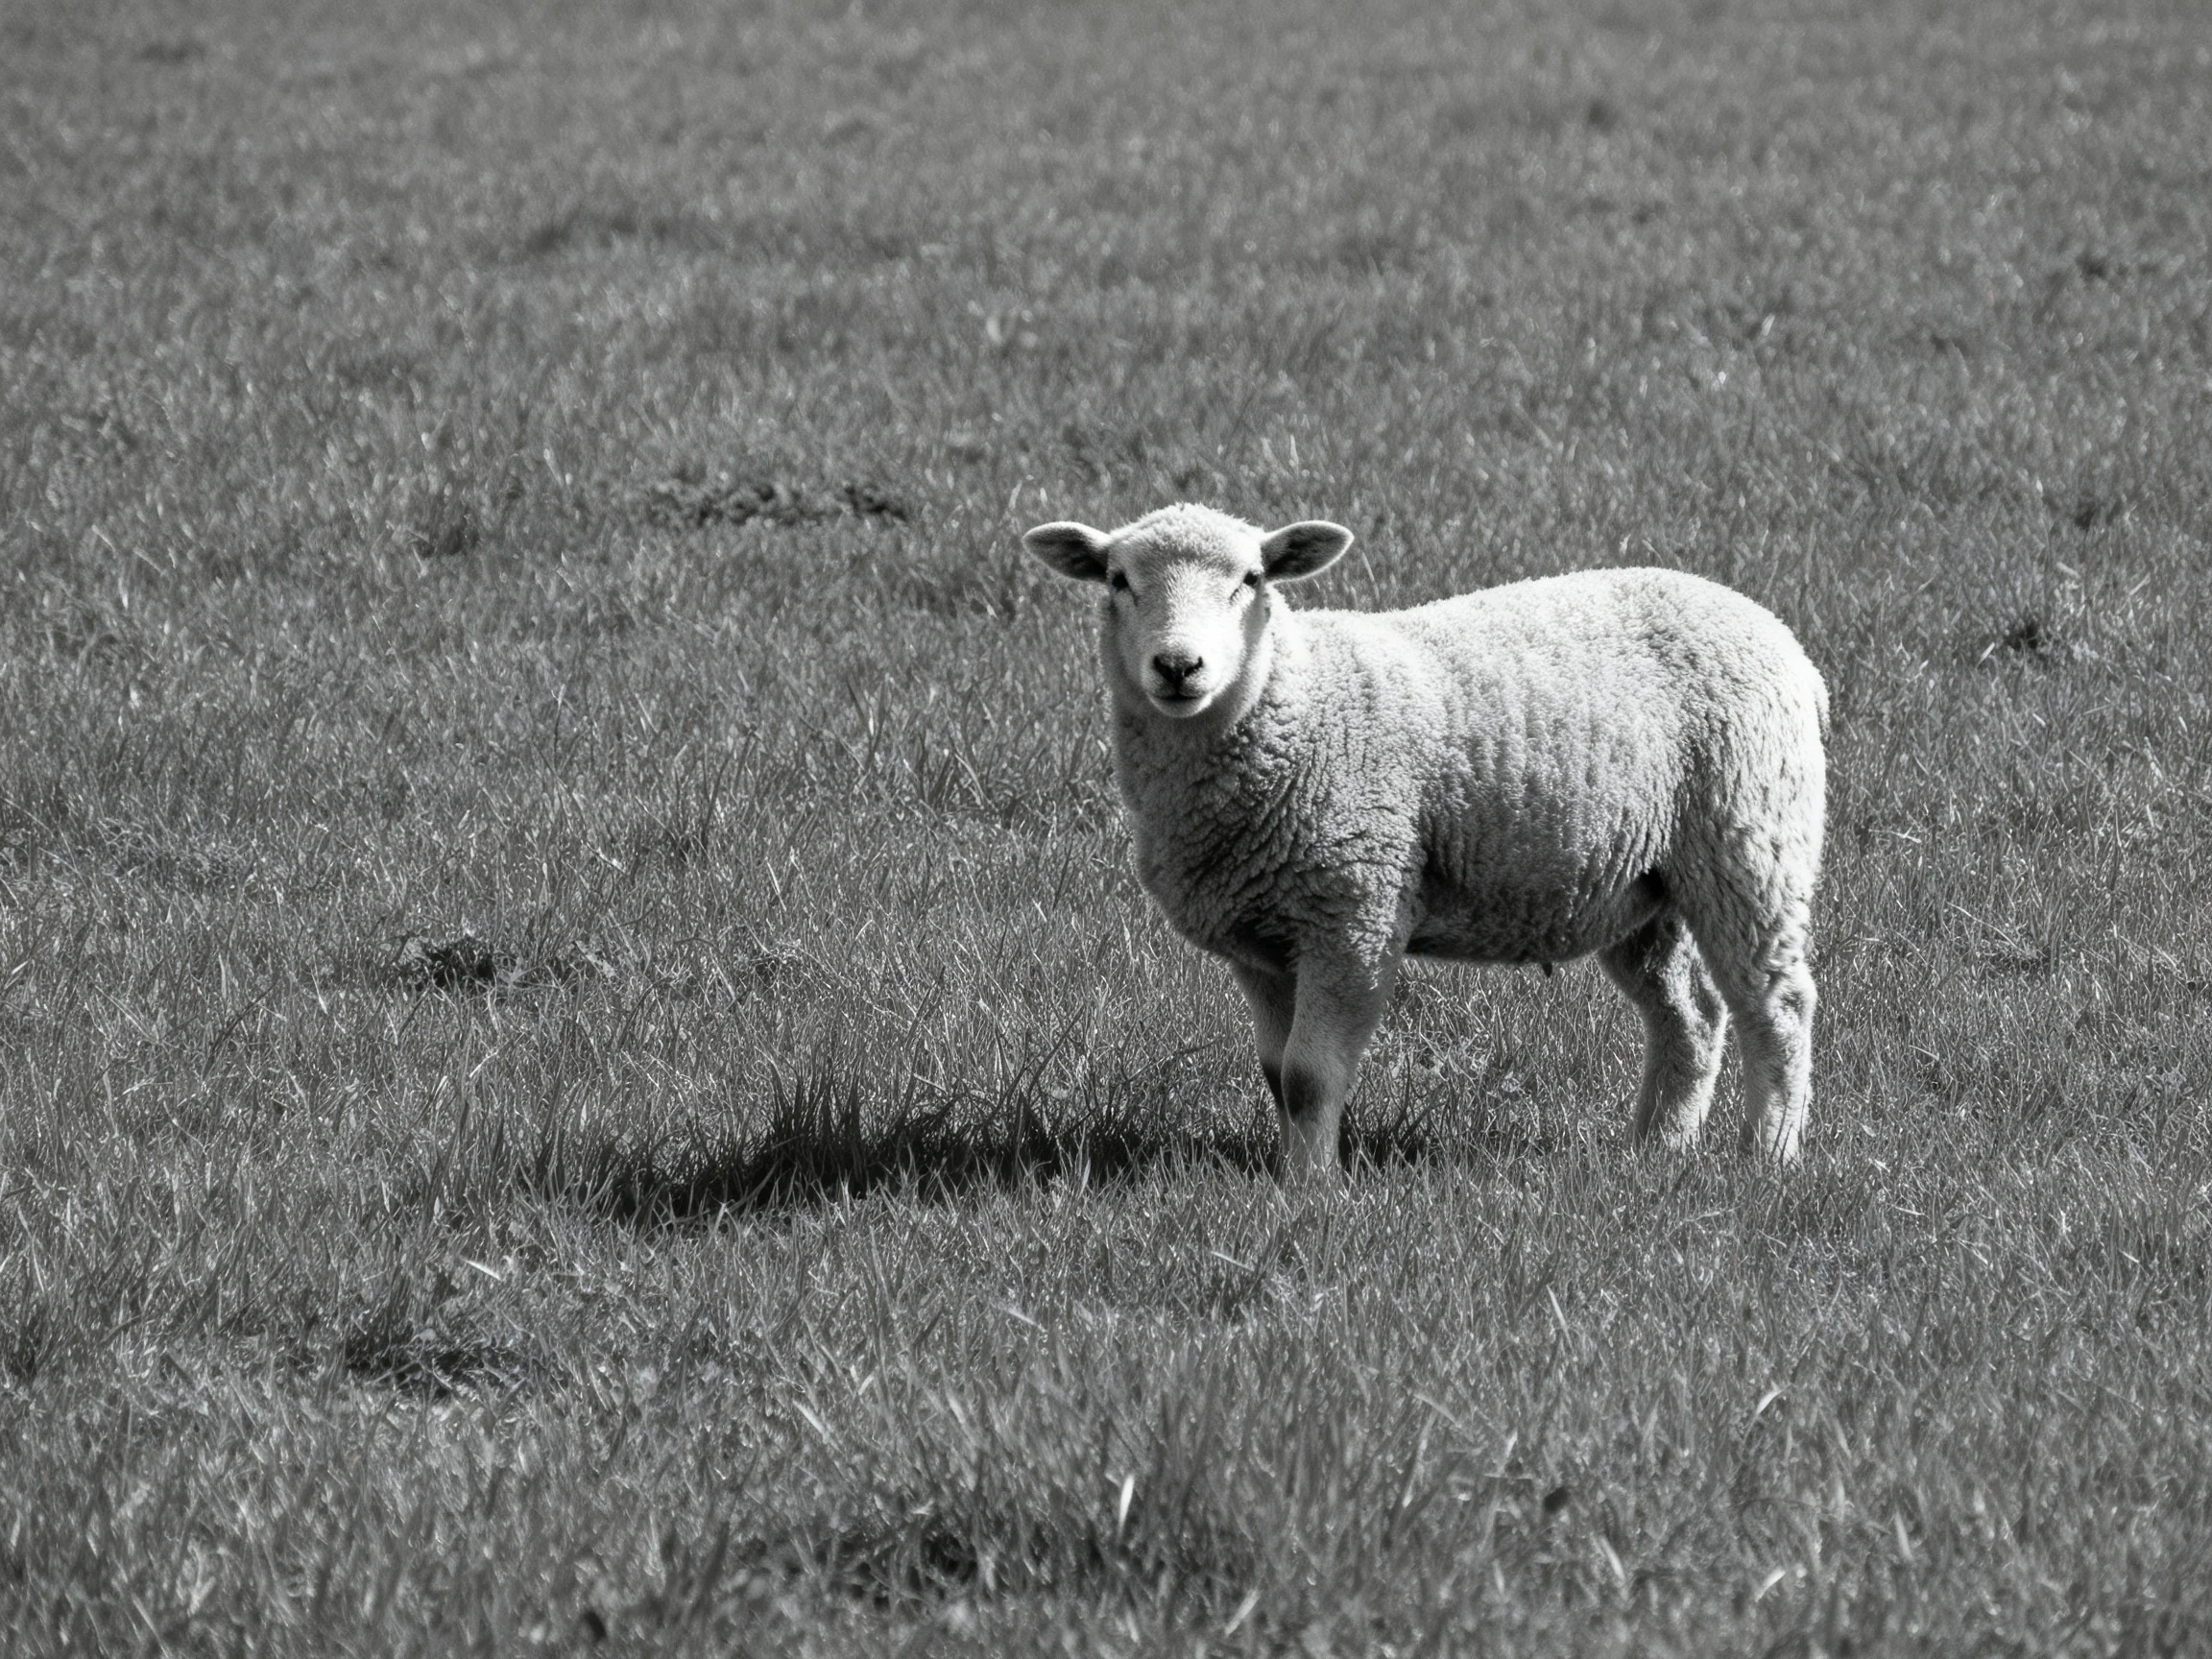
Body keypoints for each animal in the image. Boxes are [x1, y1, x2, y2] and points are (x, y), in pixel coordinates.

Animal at [1024, 503, 1828, 1185]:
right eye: (1118, 581)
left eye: (1251, 580)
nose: (1178, 667)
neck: (1298, 701)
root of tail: (1778, 635)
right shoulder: (1262, 944)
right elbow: (1277, 1077)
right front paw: (1286, 1176)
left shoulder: (1353, 915)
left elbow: (1309, 1078)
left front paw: (1314, 1191)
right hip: (1642, 883)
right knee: (1691, 1015)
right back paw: (1657, 1149)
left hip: (1751, 839)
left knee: (1777, 1004)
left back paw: (1770, 1154)